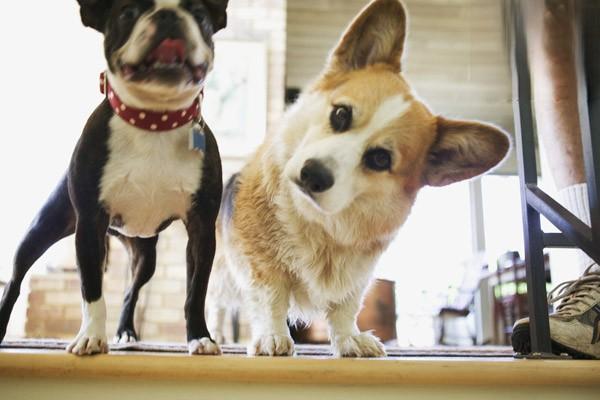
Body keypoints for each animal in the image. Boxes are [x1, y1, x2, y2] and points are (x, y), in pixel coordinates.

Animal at [0, 0, 229, 356]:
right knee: (14, 280)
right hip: (42, 230)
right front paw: (91, 336)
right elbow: (91, 288)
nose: (167, 15)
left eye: (200, 16)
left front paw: (200, 338)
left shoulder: (201, 231)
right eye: (127, 13)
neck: (154, 120)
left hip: (145, 255)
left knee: (130, 291)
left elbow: (196, 292)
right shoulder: (89, 224)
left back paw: (126, 332)